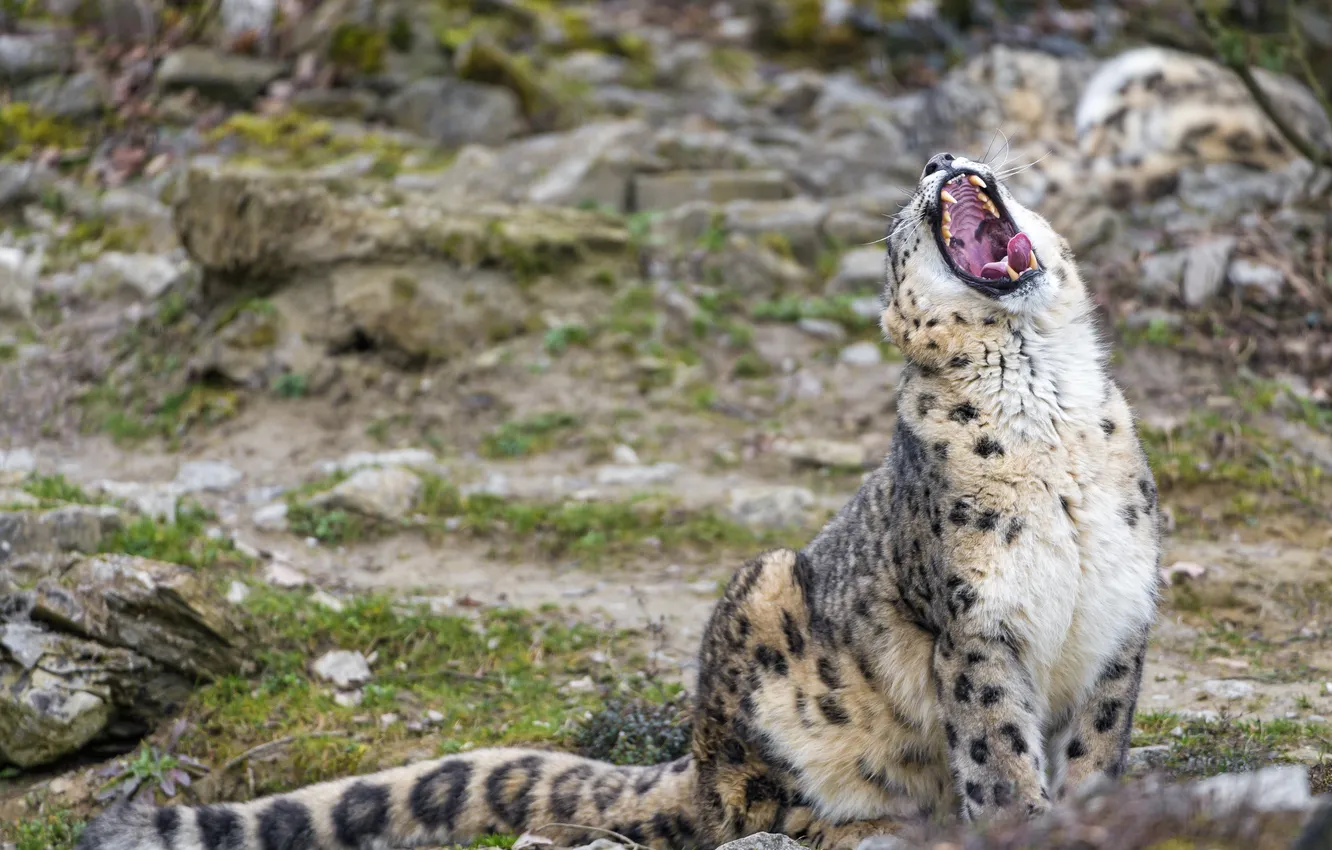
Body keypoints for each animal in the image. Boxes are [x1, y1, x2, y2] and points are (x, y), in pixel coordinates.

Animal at [75, 152, 1162, 850]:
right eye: (901, 229)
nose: (943, 156)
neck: (1051, 406)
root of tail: (694, 746)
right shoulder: (978, 624)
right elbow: (998, 748)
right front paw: (1026, 821)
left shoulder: (1120, 608)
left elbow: (1095, 741)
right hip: (761, 618)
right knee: (749, 811)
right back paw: (875, 821)